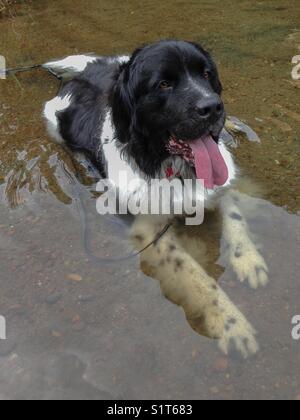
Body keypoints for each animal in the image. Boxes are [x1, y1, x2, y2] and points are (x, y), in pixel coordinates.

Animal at [43, 40, 268, 358]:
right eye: (164, 84)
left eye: (206, 74)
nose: (213, 107)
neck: (169, 166)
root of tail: (91, 69)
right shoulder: (151, 232)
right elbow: (197, 277)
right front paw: (230, 323)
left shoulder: (217, 186)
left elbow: (235, 217)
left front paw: (249, 260)